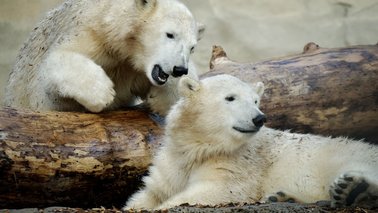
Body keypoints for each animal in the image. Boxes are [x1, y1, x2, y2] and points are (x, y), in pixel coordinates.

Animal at [3, 0, 204, 115]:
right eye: (170, 34)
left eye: (192, 47)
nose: (179, 69)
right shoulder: (91, 33)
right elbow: (55, 62)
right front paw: (101, 92)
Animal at [125, 74, 378, 210]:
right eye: (230, 98)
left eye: (255, 100)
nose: (259, 118)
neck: (200, 147)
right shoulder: (172, 162)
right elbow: (151, 193)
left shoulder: (236, 165)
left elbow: (217, 190)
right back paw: (281, 196)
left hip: (345, 154)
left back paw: (351, 188)